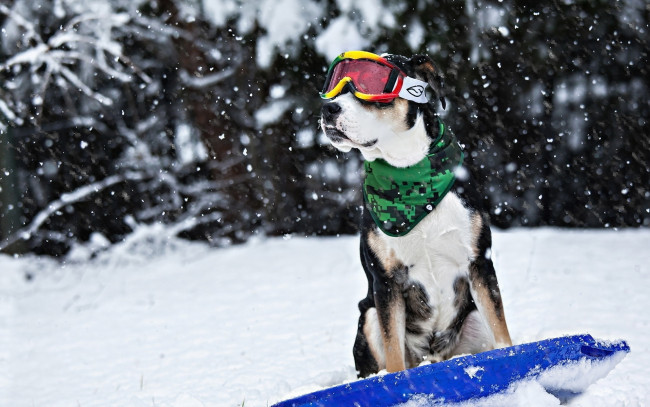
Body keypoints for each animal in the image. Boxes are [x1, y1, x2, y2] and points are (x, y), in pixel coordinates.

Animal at [318, 51, 512, 380]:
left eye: (372, 84)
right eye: (335, 85)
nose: (328, 108)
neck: (409, 173)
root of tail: (432, 357)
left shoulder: (479, 262)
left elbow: (502, 334)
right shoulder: (386, 281)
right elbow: (394, 351)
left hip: (472, 318)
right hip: (369, 316)